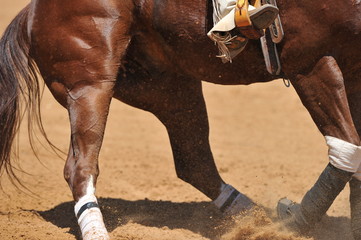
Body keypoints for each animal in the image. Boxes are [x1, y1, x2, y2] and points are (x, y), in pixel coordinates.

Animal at [0, 0, 360, 239]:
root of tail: (31, 10)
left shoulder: (351, 68)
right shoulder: (309, 62)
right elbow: (347, 149)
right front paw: (295, 220)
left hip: (172, 88)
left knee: (193, 162)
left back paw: (258, 217)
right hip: (89, 85)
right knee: (79, 167)